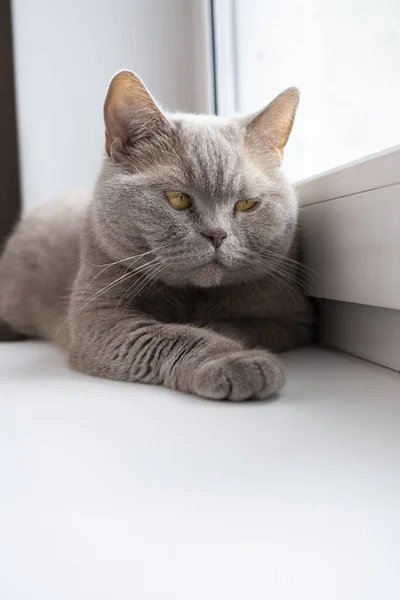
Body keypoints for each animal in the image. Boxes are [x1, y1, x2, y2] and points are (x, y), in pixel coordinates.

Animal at [0, 70, 312, 398]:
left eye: (246, 204)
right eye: (178, 199)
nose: (217, 235)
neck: (192, 294)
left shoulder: (292, 319)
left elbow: (234, 326)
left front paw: (213, 327)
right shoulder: (99, 318)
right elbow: (176, 336)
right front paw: (235, 361)